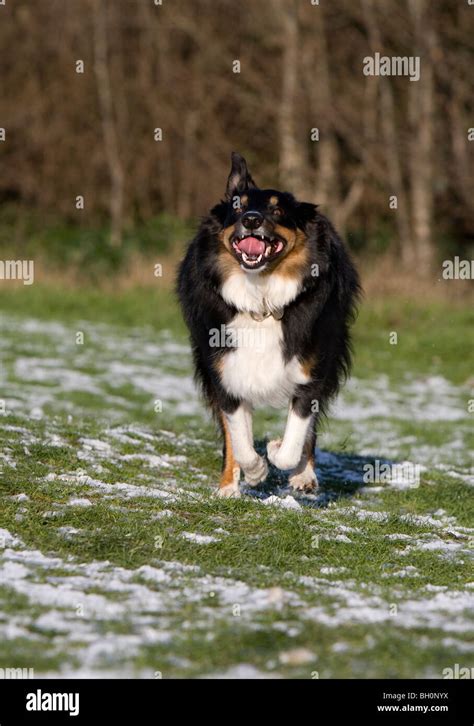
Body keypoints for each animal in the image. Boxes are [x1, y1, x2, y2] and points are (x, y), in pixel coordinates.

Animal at [177, 151, 360, 498]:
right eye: (238, 206)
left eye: (277, 210)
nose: (251, 219)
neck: (260, 299)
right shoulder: (224, 370)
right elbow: (239, 437)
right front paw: (253, 472)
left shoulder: (311, 371)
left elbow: (295, 437)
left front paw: (278, 452)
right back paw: (229, 486)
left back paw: (304, 475)